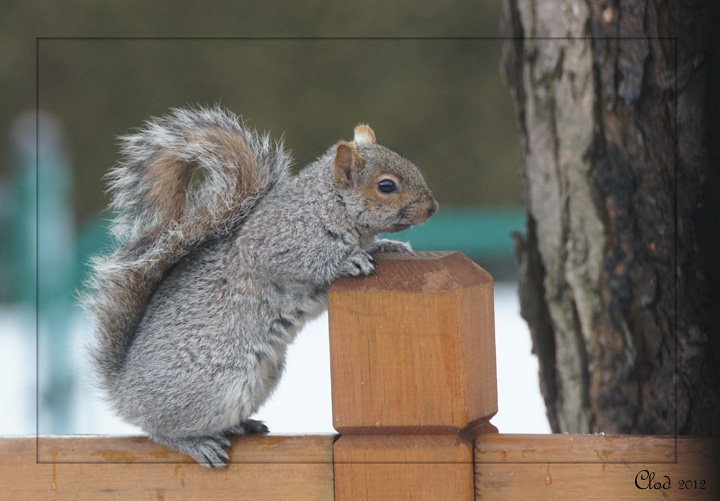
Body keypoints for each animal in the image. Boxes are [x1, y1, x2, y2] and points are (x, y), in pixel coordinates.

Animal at [81, 105, 436, 464]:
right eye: (386, 186)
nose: (432, 208)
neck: (327, 205)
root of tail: (123, 391)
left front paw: (388, 247)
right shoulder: (272, 242)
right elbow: (304, 262)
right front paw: (350, 261)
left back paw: (242, 426)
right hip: (214, 388)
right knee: (159, 430)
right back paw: (197, 443)